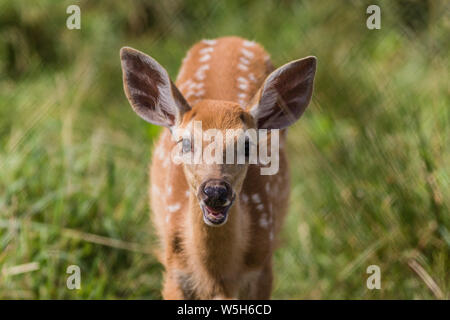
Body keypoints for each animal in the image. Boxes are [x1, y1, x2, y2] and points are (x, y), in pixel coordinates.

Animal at [120, 37, 316, 300]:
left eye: (247, 145)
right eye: (185, 143)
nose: (215, 191)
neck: (217, 276)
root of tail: (230, 38)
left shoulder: (263, 269)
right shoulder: (175, 271)